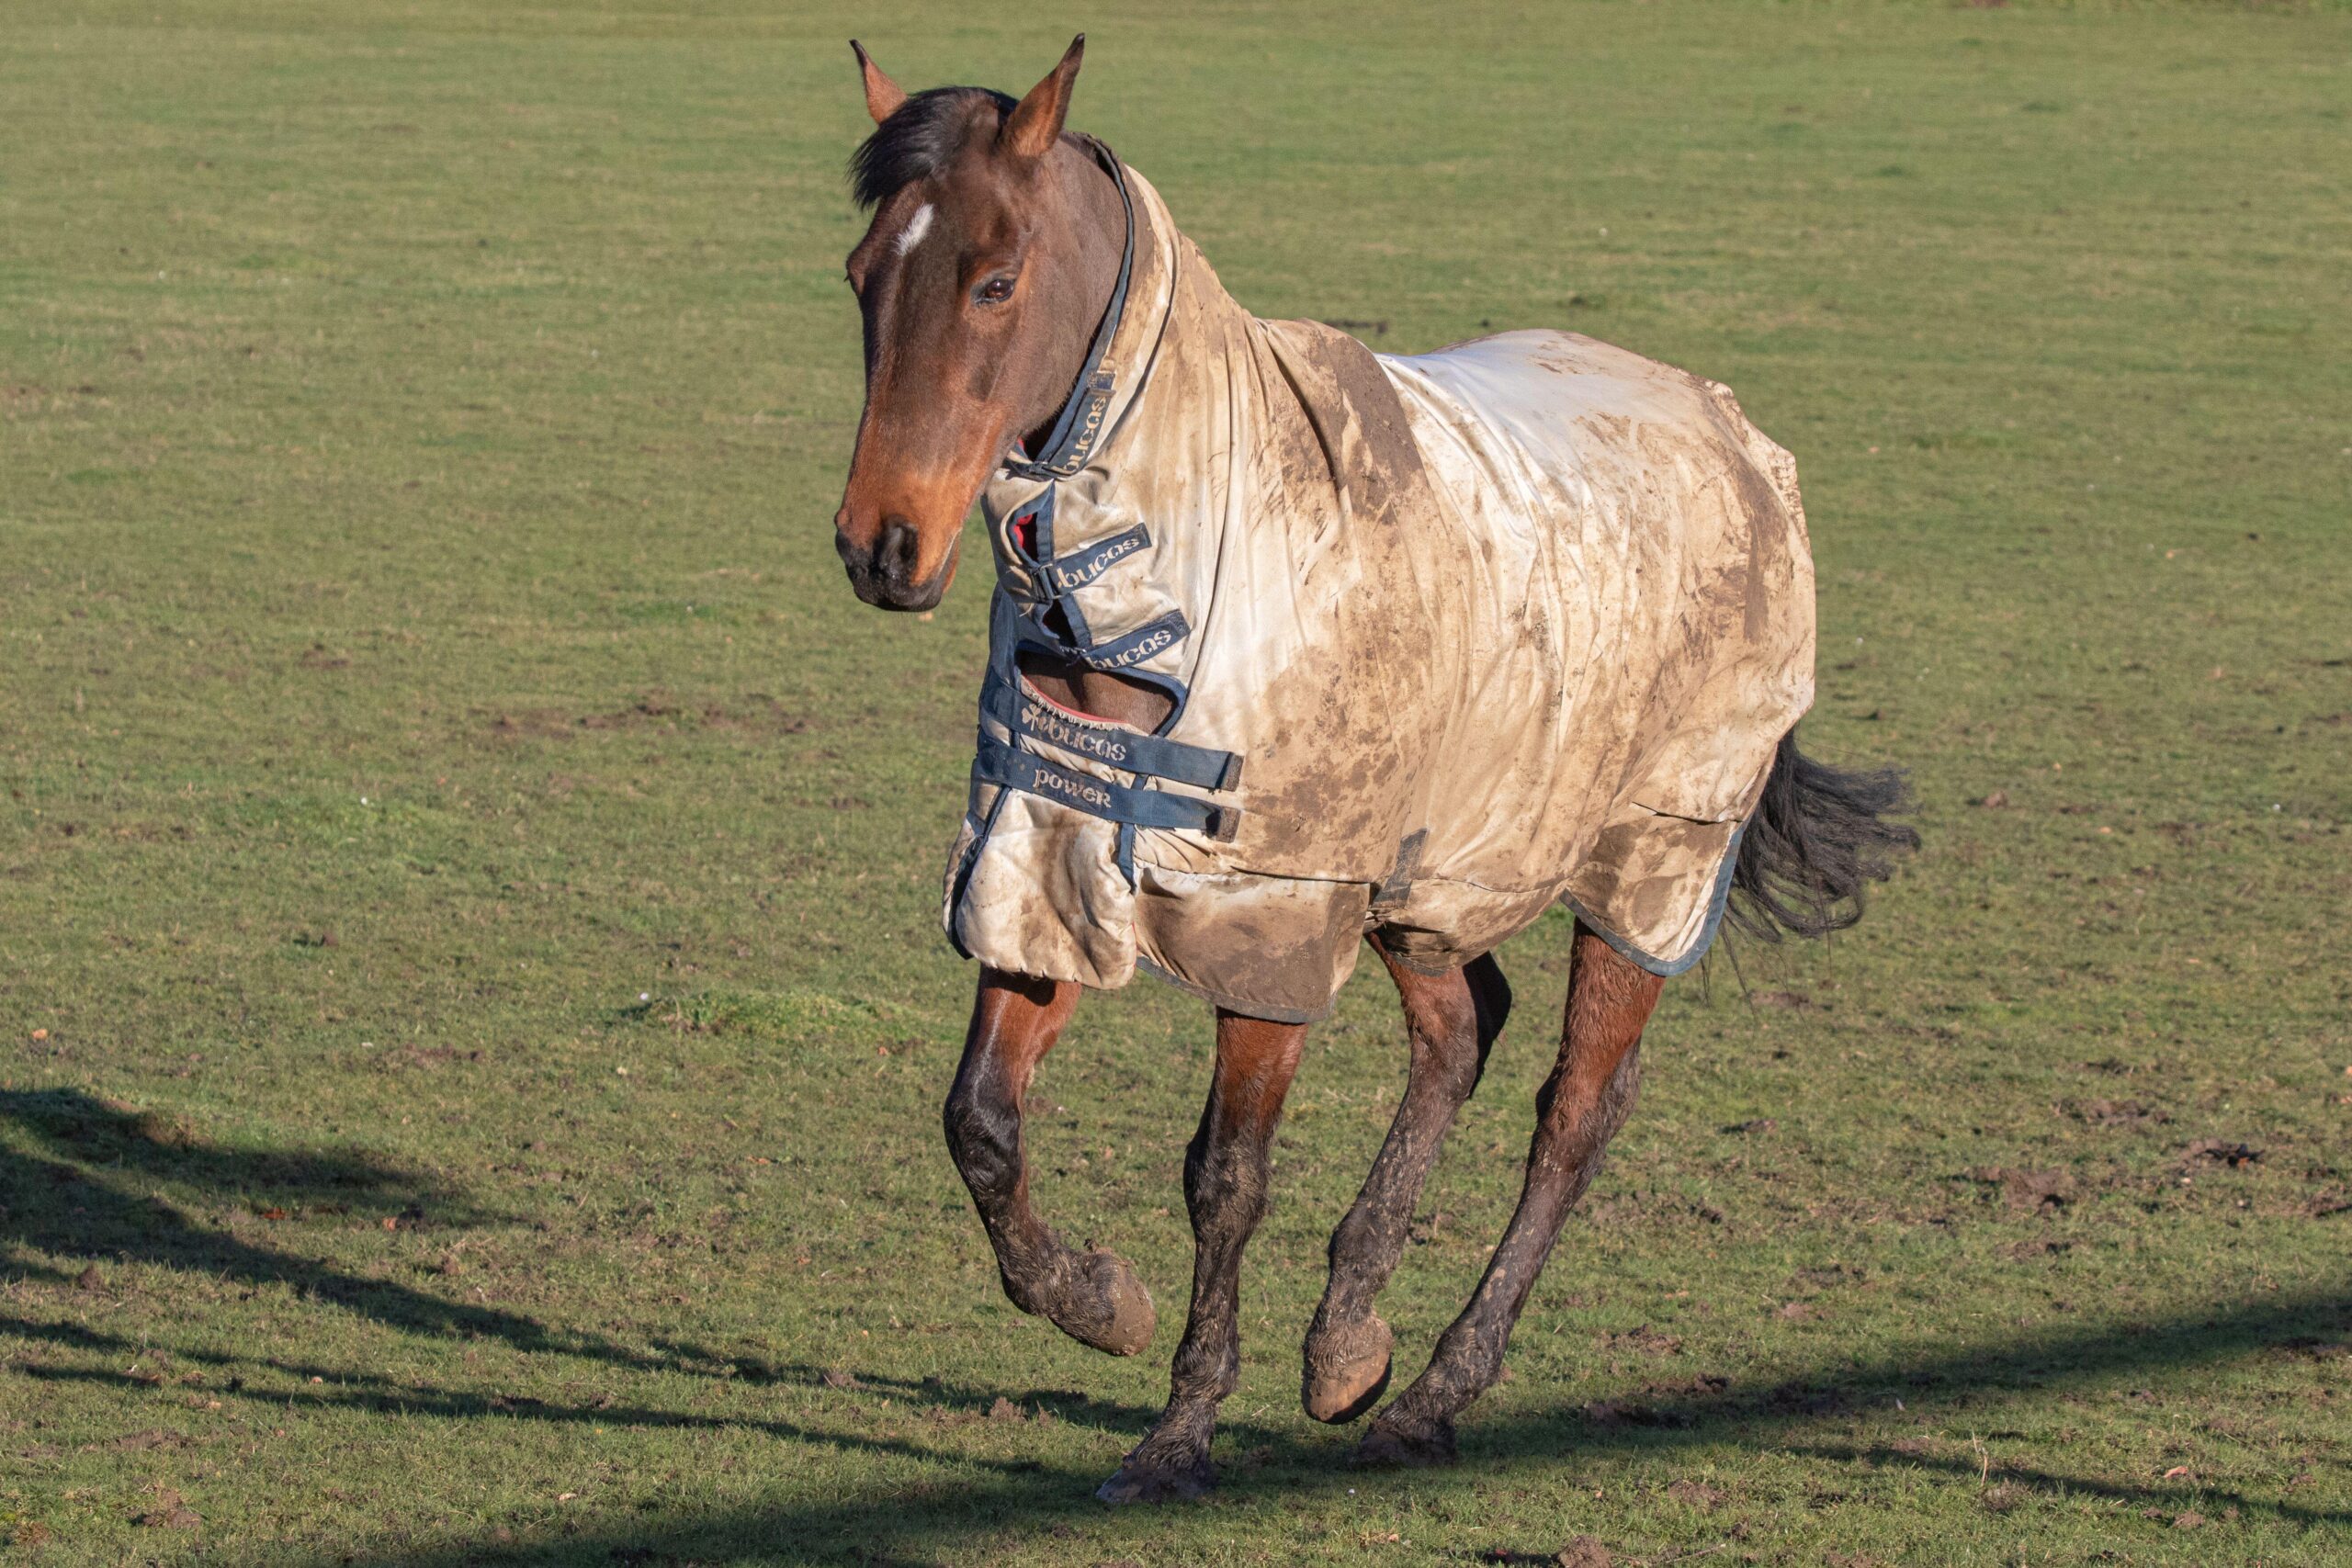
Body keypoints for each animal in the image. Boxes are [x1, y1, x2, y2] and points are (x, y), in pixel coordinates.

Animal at [830, 37, 1917, 1503]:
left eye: (995, 279)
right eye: (861, 273)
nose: (879, 544)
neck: (1185, 557)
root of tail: (1733, 431)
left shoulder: (1276, 917)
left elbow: (1225, 1175)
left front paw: (1179, 1428)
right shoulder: (1048, 851)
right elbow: (982, 1123)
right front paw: (1098, 1298)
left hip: (1651, 859)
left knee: (1575, 1112)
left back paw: (1437, 1388)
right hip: (1434, 868)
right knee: (1462, 1028)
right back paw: (1349, 1340)